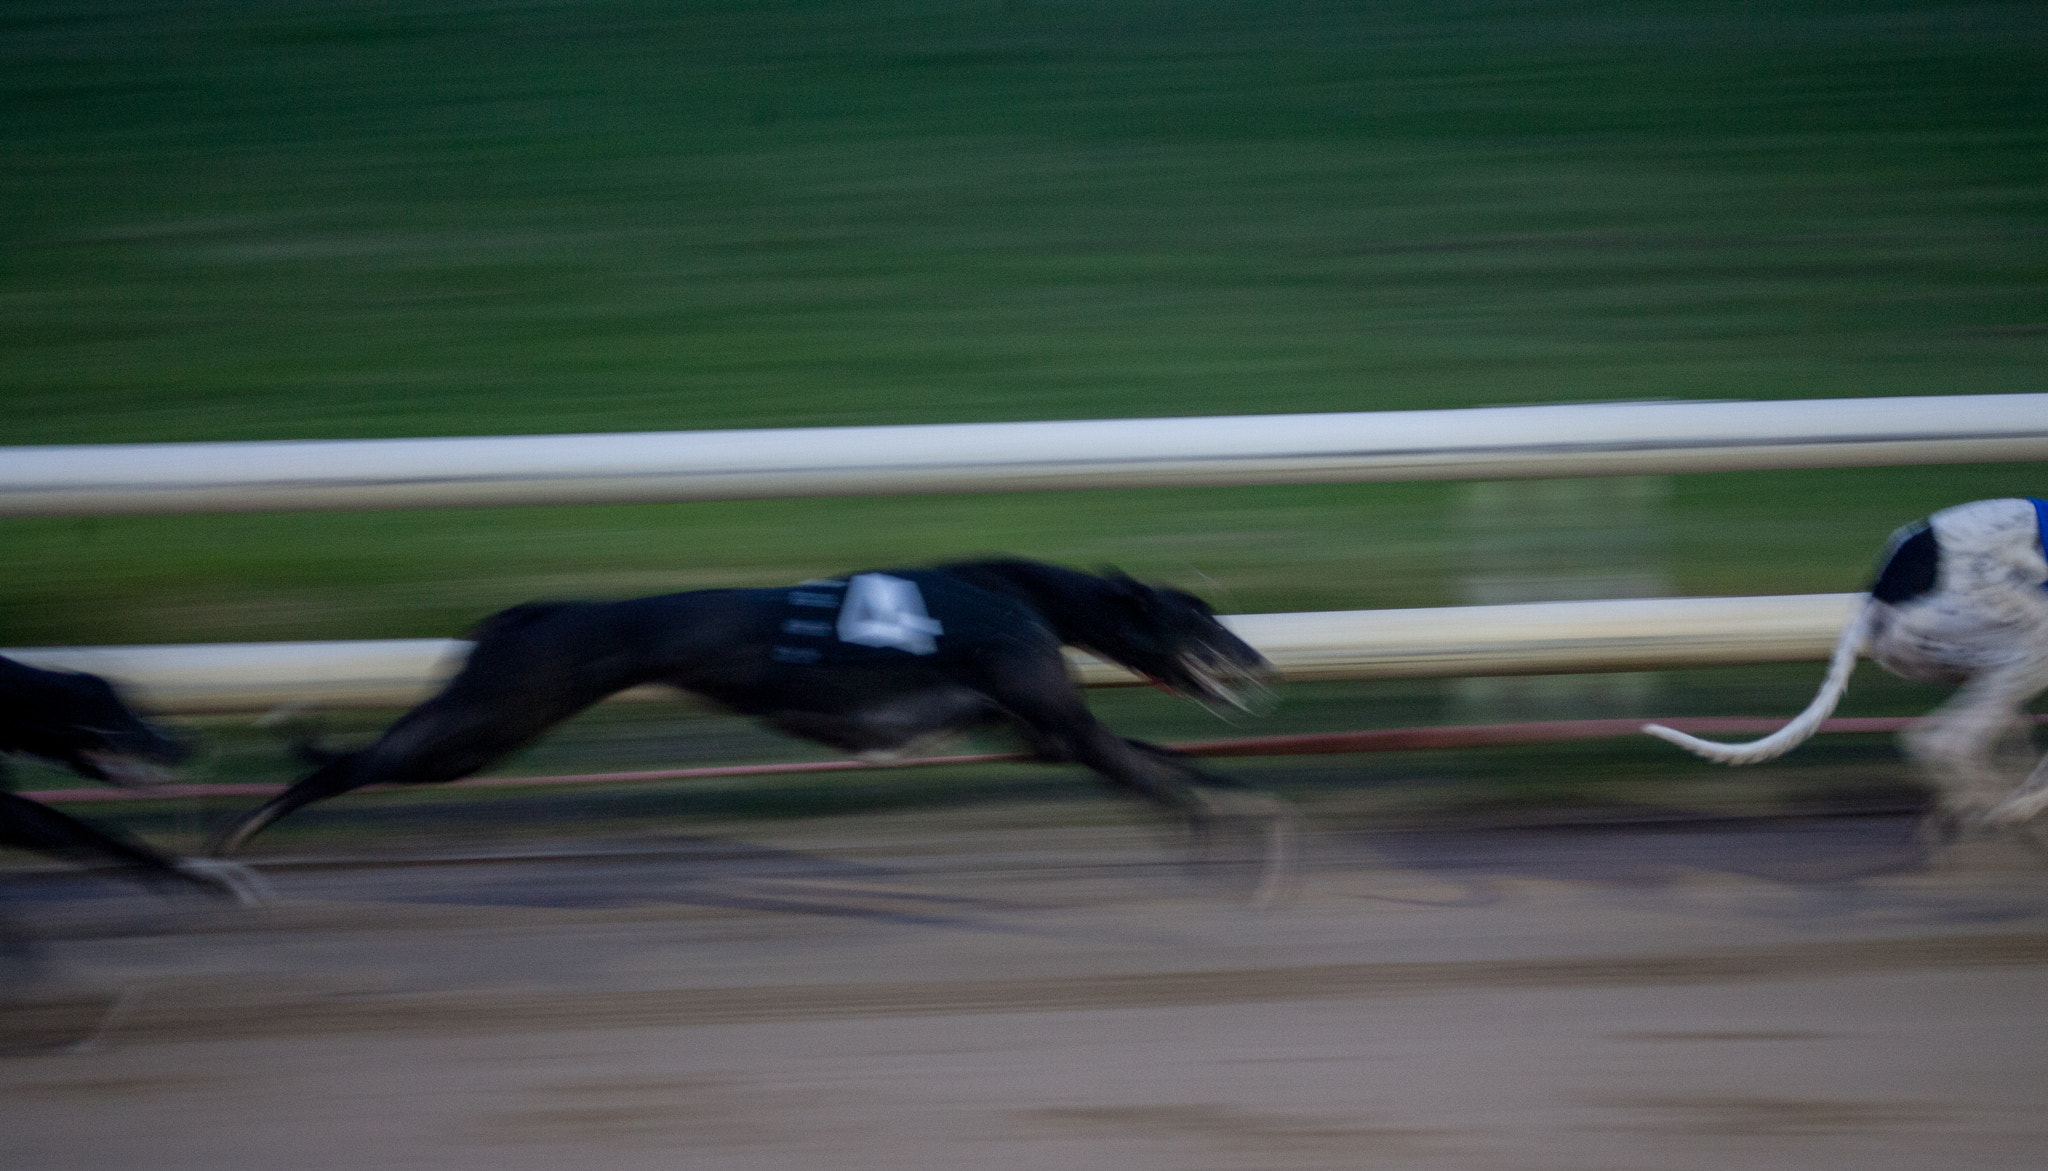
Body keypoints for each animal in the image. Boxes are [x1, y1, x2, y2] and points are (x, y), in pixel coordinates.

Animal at [0, 655, 264, 900]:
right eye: (124, 713)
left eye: (142, 706)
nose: (189, 743)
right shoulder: (11, 812)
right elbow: (97, 839)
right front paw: (212, 875)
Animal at [216, 560, 1286, 892]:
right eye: (1200, 617)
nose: (1262, 661)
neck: (1020, 596)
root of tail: (535, 612)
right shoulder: (1055, 720)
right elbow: (1159, 775)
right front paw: (1223, 843)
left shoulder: (1037, 730)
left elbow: (1162, 762)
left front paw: (1252, 824)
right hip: (487, 723)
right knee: (347, 762)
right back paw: (238, 835)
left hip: (488, 718)